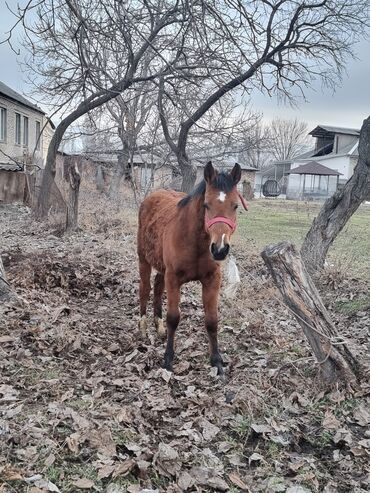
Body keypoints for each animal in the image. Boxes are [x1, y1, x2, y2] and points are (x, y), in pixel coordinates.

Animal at [137, 160, 247, 372]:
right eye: (206, 205)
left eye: (235, 205)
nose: (220, 249)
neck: (194, 241)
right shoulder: (173, 278)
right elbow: (173, 318)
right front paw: (168, 359)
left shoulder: (212, 280)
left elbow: (212, 320)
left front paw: (217, 361)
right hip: (143, 260)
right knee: (145, 290)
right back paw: (144, 329)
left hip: (162, 268)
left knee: (157, 288)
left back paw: (159, 327)